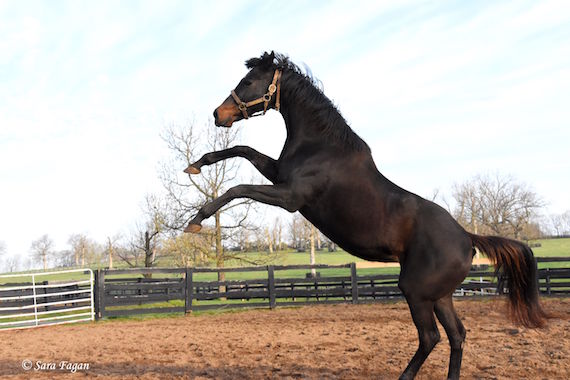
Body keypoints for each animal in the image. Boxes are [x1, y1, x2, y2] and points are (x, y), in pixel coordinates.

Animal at [182, 52, 544, 378]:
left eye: (248, 82)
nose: (218, 114)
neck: (321, 147)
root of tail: (468, 238)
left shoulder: (290, 197)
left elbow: (237, 188)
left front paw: (197, 220)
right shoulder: (277, 175)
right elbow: (242, 150)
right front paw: (196, 165)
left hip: (416, 291)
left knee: (430, 337)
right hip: (440, 296)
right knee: (457, 336)